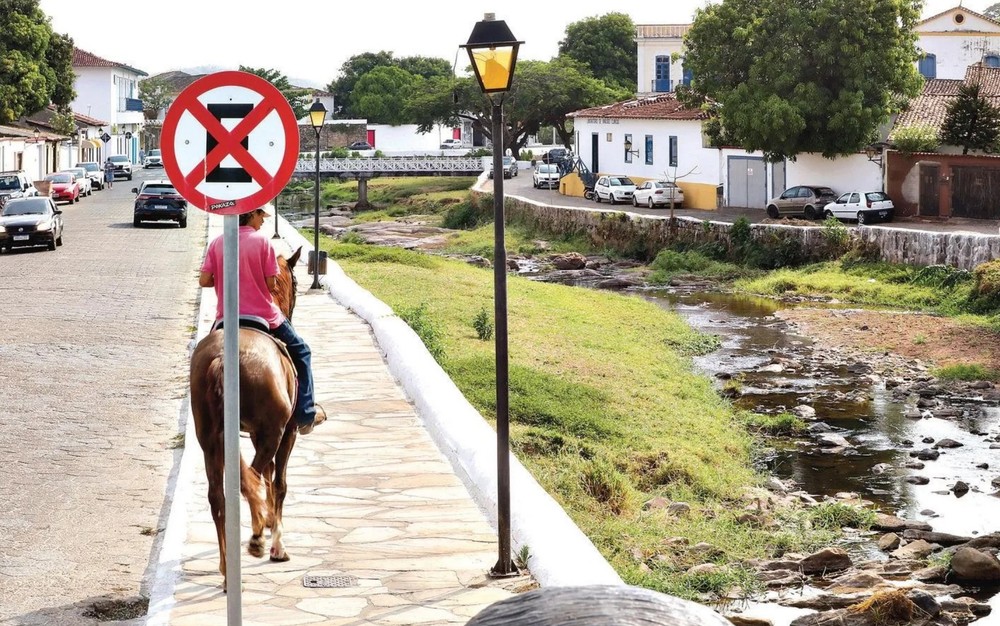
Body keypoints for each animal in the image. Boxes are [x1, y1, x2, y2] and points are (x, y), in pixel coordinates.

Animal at [187, 246, 312, 588]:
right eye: (296, 283)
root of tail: (221, 358)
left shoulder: (254, 433)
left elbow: (269, 478)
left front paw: (269, 524)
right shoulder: (287, 432)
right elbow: (278, 482)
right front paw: (277, 542)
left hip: (210, 438)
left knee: (219, 496)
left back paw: (227, 569)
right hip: (272, 433)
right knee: (252, 479)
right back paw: (256, 538)